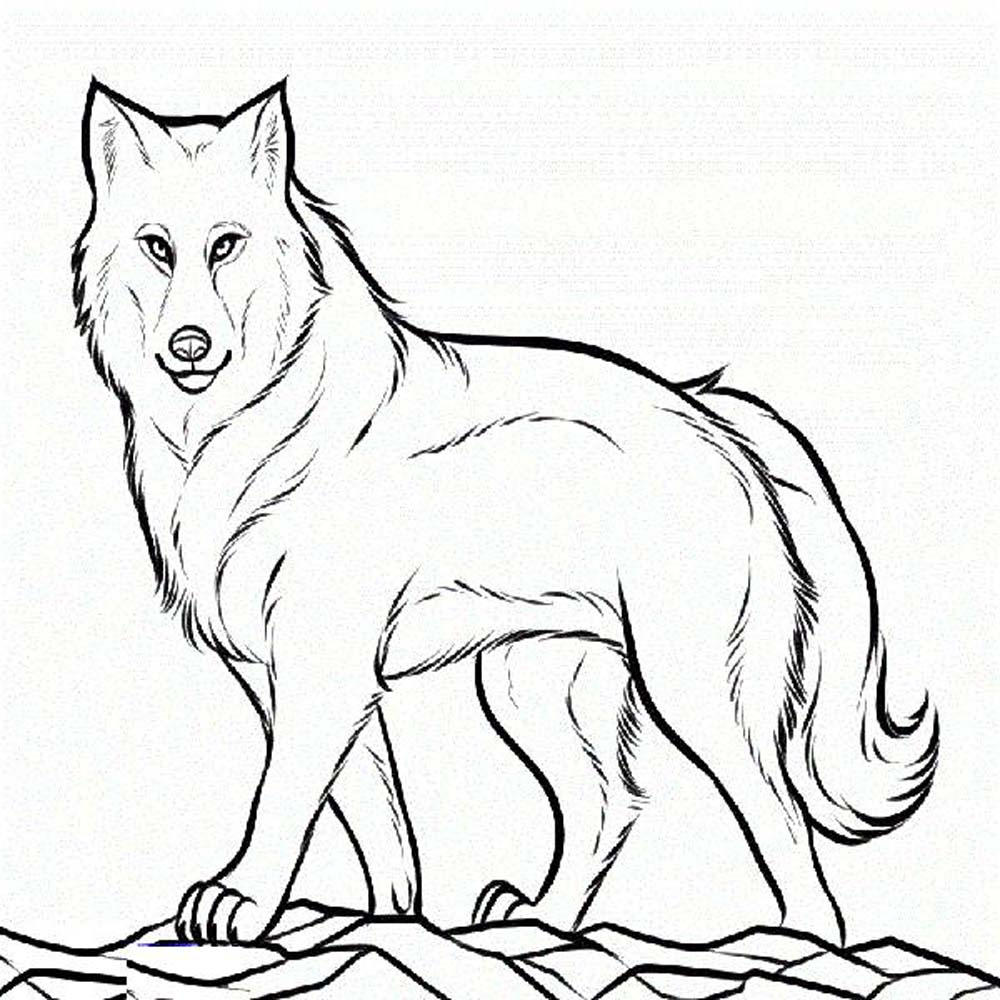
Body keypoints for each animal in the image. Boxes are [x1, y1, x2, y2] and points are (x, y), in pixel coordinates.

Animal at [72, 80, 939, 945]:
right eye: (157, 247)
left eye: (226, 245)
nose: (189, 345)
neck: (237, 431)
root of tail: (719, 416)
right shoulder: (284, 674)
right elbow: (382, 829)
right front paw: (387, 927)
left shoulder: (324, 665)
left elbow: (282, 799)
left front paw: (241, 902)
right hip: (530, 684)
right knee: (608, 805)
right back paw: (540, 924)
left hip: (694, 690)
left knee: (785, 829)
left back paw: (796, 947)